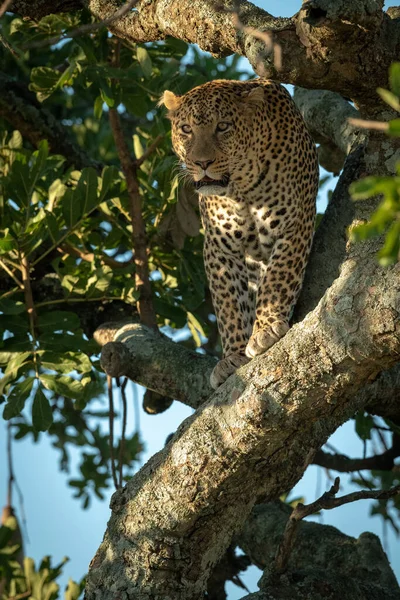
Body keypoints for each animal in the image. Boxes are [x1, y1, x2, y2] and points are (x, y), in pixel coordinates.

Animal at [159, 79, 318, 390]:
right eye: (186, 129)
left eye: (223, 126)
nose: (202, 163)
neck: (242, 188)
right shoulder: (219, 247)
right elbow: (229, 304)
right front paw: (232, 356)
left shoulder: (295, 223)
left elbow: (278, 278)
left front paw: (265, 330)